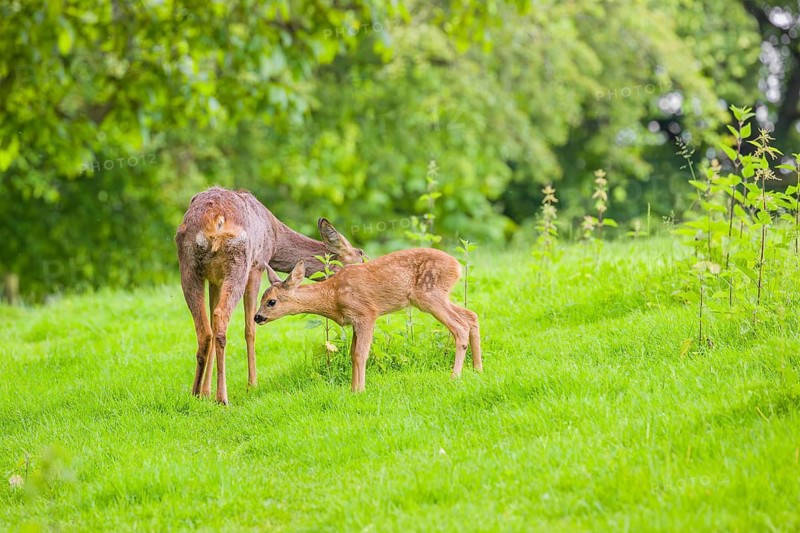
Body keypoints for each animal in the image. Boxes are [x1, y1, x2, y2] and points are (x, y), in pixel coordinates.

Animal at [175, 187, 364, 405]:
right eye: (361, 255)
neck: (274, 238)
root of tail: (216, 219)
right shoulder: (257, 265)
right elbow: (250, 329)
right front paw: (252, 385)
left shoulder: (215, 279)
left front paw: (206, 392)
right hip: (239, 262)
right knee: (221, 318)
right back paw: (222, 397)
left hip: (189, 265)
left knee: (205, 329)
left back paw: (196, 393)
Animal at [254, 247, 482, 392]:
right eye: (262, 299)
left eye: (271, 302)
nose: (257, 317)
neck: (333, 296)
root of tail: (457, 266)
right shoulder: (354, 321)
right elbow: (352, 353)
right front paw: (353, 388)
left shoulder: (366, 313)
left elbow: (360, 354)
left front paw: (360, 390)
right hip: (438, 296)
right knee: (471, 316)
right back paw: (477, 369)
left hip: (429, 295)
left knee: (460, 326)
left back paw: (455, 376)